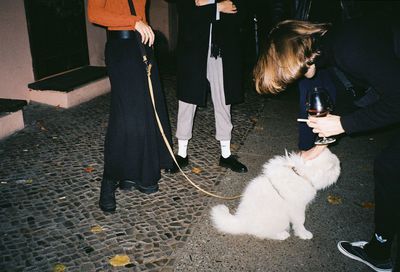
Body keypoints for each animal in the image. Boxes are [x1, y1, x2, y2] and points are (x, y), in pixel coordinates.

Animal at [211, 149, 340, 240]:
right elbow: (300, 222)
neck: (301, 174)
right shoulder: (297, 207)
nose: (340, 165)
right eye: (336, 166)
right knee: (262, 233)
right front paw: (304, 233)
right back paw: (281, 235)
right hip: (280, 220)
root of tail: (242, 222)